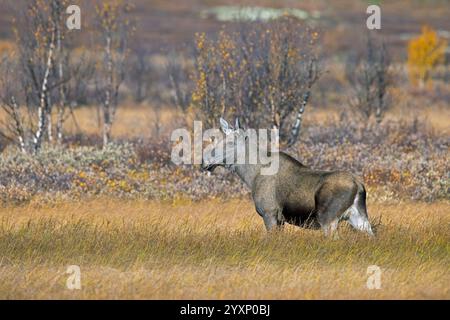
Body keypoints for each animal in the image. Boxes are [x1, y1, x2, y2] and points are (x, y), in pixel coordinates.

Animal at [202, 118, 374, 238]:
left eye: (230, 142)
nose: (204, 161)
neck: (251, 176)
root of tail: (359, 185)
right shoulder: (280, 220)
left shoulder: (270, 214)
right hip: (359, 218)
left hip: (328, 219)